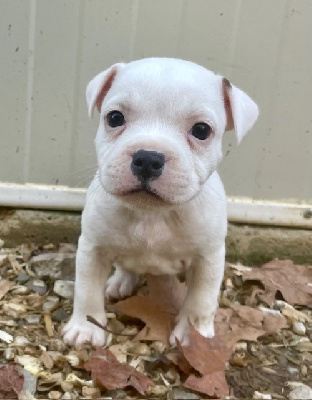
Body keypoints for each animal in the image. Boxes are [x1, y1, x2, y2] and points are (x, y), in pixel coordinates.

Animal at [61, 57, 258, 346]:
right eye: (114, 118)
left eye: (201, 130)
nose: (147, 158)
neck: (153, 214)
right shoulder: (93, 249)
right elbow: (86, 290)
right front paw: (85, 328)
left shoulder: (208, 259)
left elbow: (200, 302)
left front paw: (193, 337)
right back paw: (120, 282)